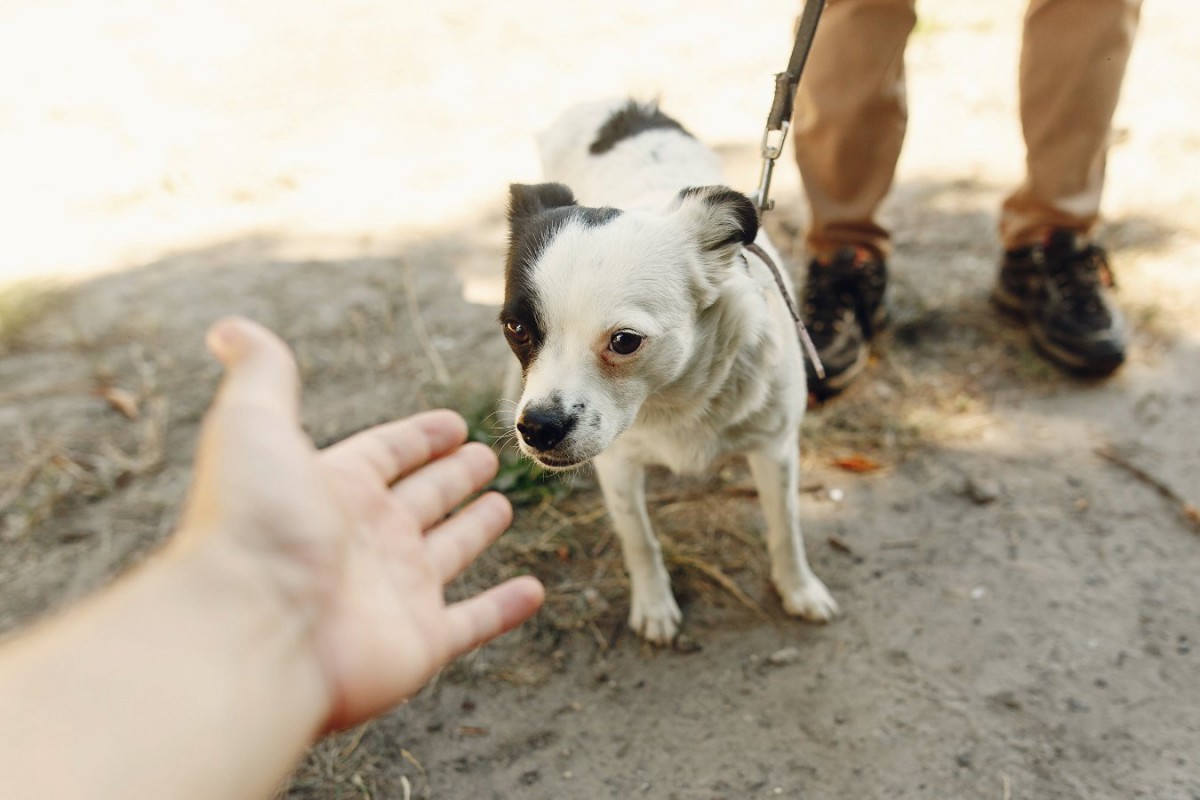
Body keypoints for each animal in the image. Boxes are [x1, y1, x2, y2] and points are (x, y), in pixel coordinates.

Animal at [499, 98, 835, 642]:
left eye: (624, 341)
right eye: (516, 328)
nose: (538, 429)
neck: (672, 396)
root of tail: (621, 103)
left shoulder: (777, 449)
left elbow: (786, 527)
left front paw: (798, 588)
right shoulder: (617, 464)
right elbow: (639, 537)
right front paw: (654, 603)